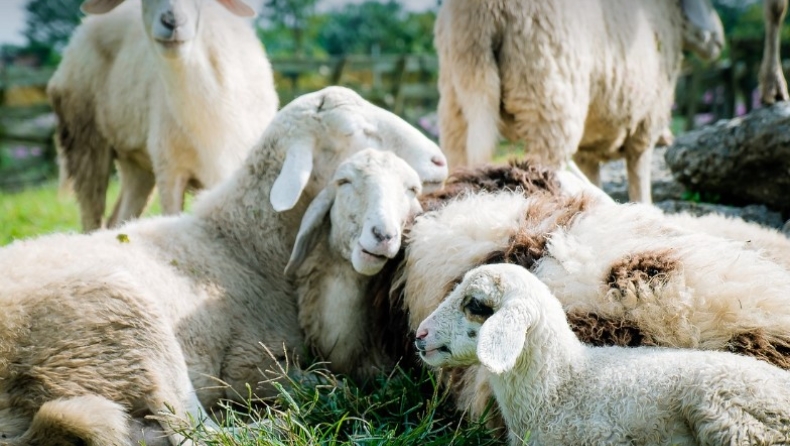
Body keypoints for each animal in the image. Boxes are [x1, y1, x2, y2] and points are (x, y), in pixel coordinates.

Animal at [48, 0, 280, 232]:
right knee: (92, 219)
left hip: (136, 163)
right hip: (85, 139)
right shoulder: (169, 170)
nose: (172, 22)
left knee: (119, 218)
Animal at [436, 0, 728, 202]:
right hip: (548, 94)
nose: (719, 40)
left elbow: (595, 178)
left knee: (461, 156)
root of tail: (482, 14)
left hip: (459, 94)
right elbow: (639, 177)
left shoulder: (590, 147)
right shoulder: (647, 119)